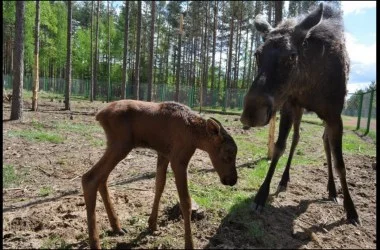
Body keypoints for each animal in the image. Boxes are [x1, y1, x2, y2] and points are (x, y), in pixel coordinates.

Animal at [82, 99, 238, 248]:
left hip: (116, 145)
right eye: (229, 154)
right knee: (89, 177)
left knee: (102, 178)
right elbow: (185, 201)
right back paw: (95, 242)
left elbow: (159, 185)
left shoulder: (163, 154)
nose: (233, 180)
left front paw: (152, 224)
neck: (196, 138)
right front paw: (189, 244)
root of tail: (100, 115)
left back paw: (116, 226)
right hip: (121, 144)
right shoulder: (178, 160)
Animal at [240, 2, 360, 225]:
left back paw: (332, 190)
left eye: (292, 56)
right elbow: (279, 147)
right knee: (297, 138)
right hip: (299, 110)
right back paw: (285, 180)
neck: (309, 82)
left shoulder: (335, 116)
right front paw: (261, 195)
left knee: (325, 143)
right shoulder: (289, 106)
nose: (251, 113)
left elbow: (340, 164)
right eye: (257, 54)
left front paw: (351, 209)